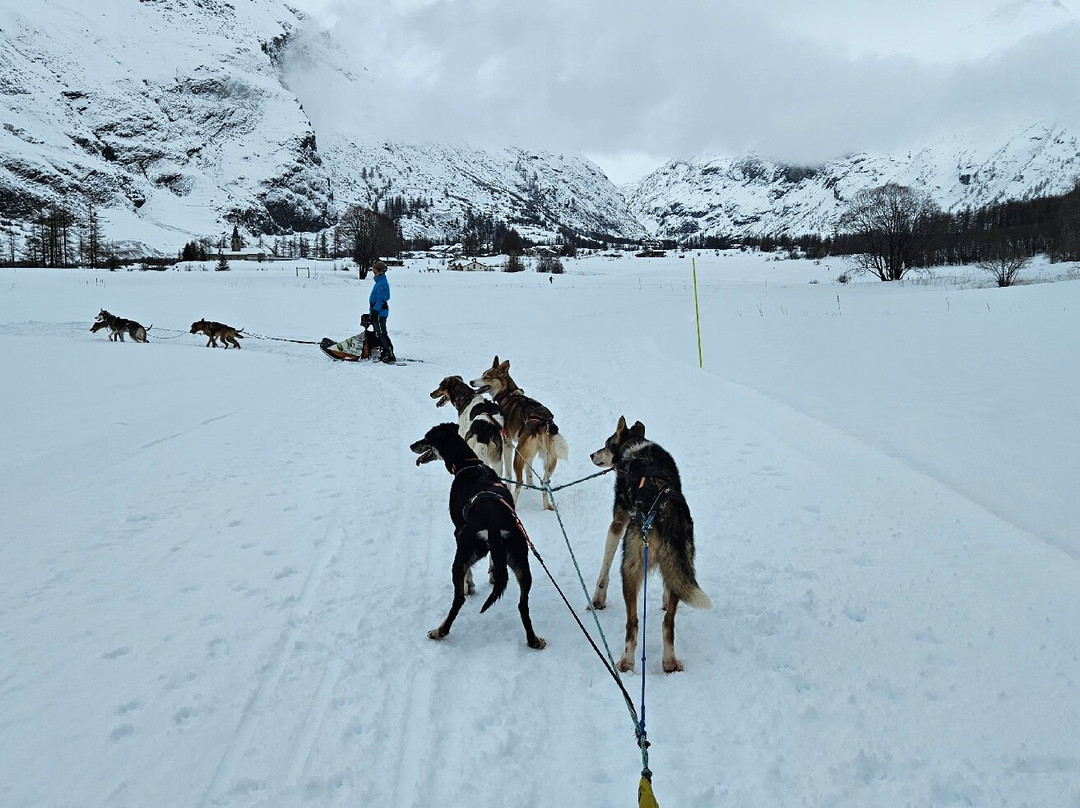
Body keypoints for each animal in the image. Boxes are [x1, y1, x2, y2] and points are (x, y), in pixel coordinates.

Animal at [412, 423, 548, 648]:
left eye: (426, 437)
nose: (412, 445)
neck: (469, 465)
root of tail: (494, 522)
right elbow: (494, 562)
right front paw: (492, 574)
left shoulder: (458, 531)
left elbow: (467, 577)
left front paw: (470, 585)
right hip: (522, 564)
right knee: (523, 605)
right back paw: (533, 640)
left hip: (462, 555)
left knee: (458, 600)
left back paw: (440, 630)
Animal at [468, 354, 570, 507]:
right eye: (483, 374)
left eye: (487, 377)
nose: (471, 381)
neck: (508, 394)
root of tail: (544, 422)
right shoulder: (529, 455)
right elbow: (529, 471)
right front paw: (531, 485)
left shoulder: (508, 445)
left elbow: (508, 474)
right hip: (549, 461)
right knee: (545, 483)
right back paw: (547, 506)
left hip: (518, 455)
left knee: (519, 482)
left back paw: (514, 503)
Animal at [587, 419, 712, 674]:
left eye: (607, 443)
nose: (592, 454)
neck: (636, 448)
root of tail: (665, 512)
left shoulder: (617, 524)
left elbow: (604, 569)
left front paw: (598, 599)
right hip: (681, 559)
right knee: (668, 622)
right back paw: (669, 662)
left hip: (630, 567)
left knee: (633, 622)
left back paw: (626, 662)